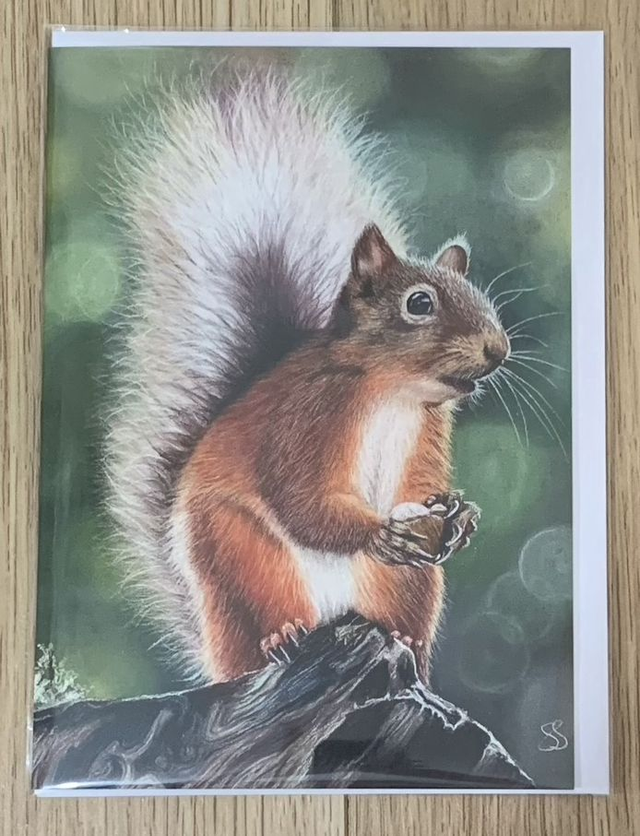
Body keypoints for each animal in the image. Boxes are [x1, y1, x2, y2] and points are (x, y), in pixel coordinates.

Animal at [107, 69, 509, 686]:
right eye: (419, 303)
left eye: (480, 295)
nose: (498, 349)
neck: (393, 392)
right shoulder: (307, 414)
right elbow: (300, 498)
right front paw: (379, 532)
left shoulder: (428, 430)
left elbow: (416, 489)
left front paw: (461, 517)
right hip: (242, 556)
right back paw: (283, 637)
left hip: (407, 581)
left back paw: (407, 648)